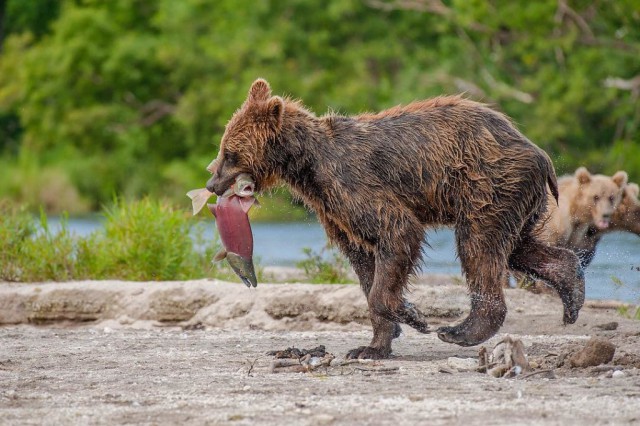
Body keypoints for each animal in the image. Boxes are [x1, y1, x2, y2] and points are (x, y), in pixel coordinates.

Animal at [208, 78, 588, 358]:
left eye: (230, 152)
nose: (212, 184)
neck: (307, 167)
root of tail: (537, 151)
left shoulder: (354, 184)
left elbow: (396, 234)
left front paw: (405, 322)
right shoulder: (333, 209)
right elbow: (364, 262)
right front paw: (380, 338)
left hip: (488, 185)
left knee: (480, 247)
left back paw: (459, 330)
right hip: (514, 199)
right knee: (517, 247)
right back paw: (571, 290)